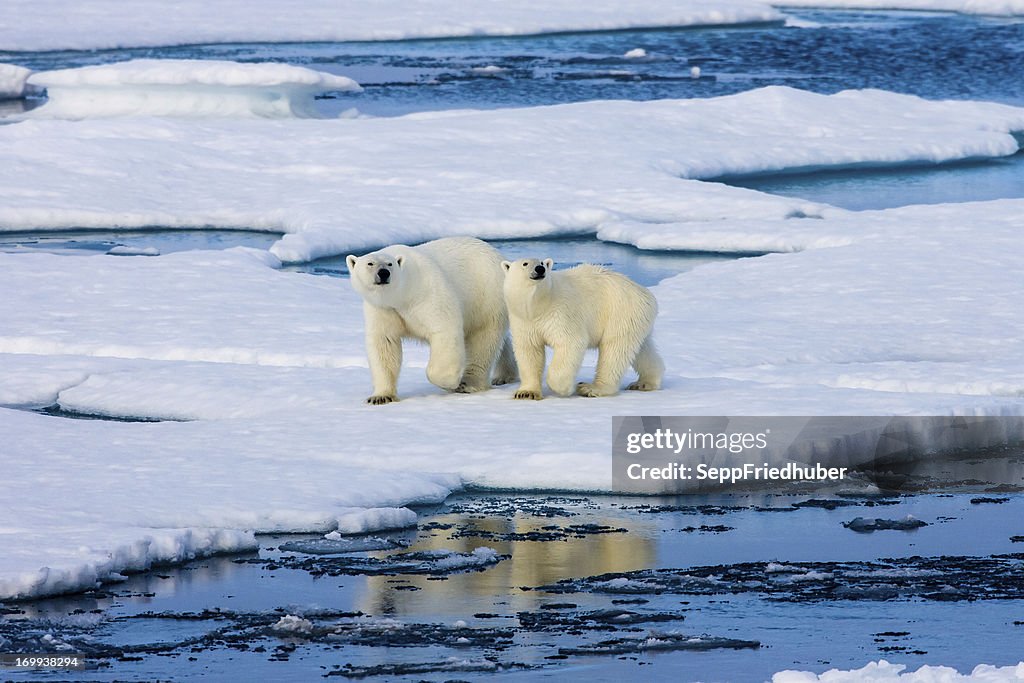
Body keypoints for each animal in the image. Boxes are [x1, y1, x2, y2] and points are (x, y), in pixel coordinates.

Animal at [346, 236, 520, 403]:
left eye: (390, 264)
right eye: (370, 263)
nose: (383, 273)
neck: (402, 295)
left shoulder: (426, 293)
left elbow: (444, 329)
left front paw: (451, 382)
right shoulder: (383, 309)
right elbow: (384, 343)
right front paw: (380, 397)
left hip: (486, 296)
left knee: (482, 339)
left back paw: (468, 383)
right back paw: (504, 376)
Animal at [501, 258, 663, 401]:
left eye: (542, 263)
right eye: (525, 263)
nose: (540, 269)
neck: (538, 306)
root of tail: (645, 293)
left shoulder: (560, 313)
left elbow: (571, 342)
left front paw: (564, 388)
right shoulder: (524, 321)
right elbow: (529, 351)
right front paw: (526, 393)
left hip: (620, 312)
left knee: (614, 350)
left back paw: (591, 388)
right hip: (636, 319)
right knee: (641, 349)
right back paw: (645, 383)